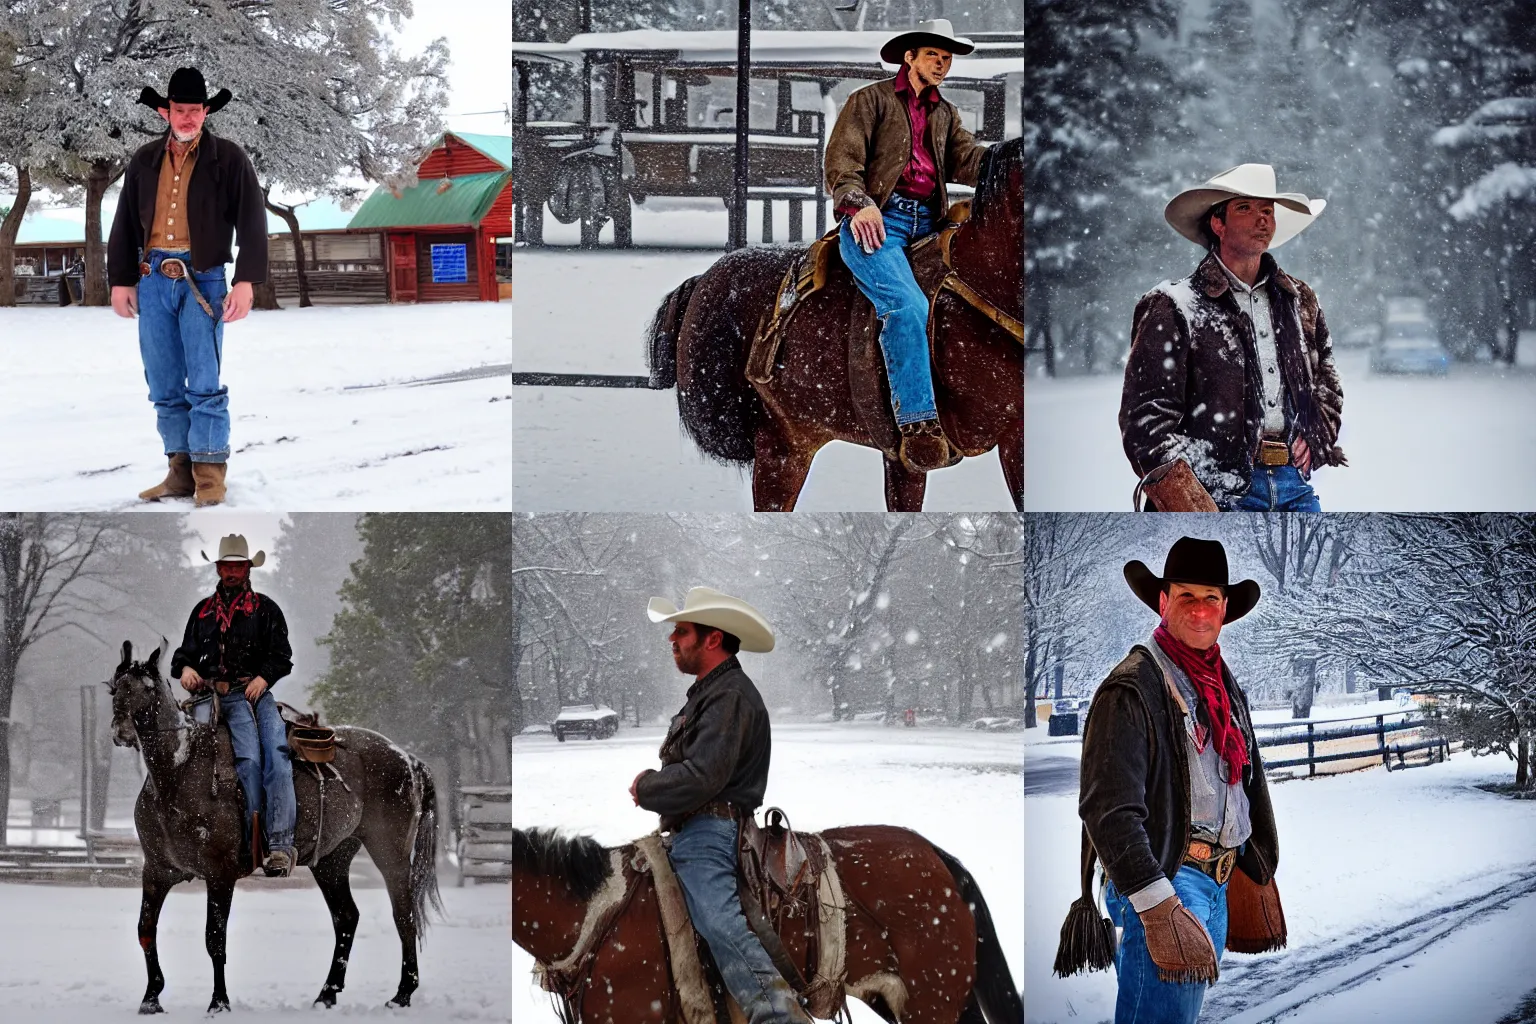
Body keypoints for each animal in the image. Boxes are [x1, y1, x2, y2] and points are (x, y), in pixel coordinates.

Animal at [106, 641, 445, 1019]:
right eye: (115, 688)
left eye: (148, 689)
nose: (122, 731)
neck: (179, 772)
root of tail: (408, 759)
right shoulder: (156, 872)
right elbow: (145, 930)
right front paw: (151, 998)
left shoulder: (220, 875)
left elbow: (215, 939)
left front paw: (219, 1002)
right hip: (332, 860)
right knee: (346, 918)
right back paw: (326, 994)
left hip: (391, 853)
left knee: (404, 915)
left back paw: (402, 994)